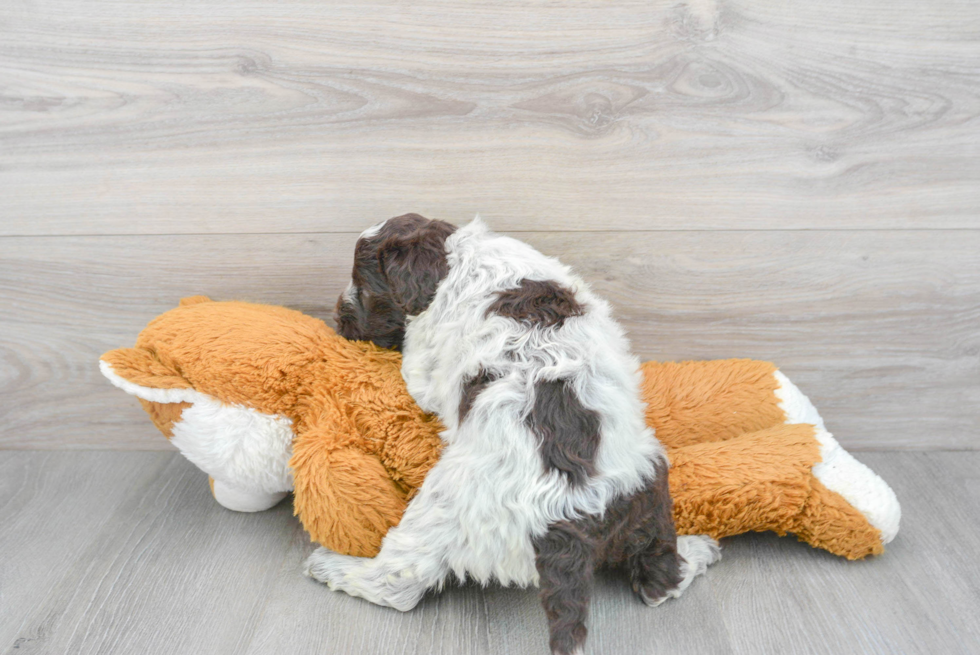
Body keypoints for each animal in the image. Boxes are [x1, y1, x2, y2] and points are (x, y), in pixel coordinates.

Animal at [306, 215, 720, 655]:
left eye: (365, 287)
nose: (339, 321)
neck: (459, 256)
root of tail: (567, 516)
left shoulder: (424, 361)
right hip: (648, 486)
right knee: (660, 580)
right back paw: (699, 551)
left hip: (441, 508)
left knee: (398, 583)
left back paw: (331, 566)